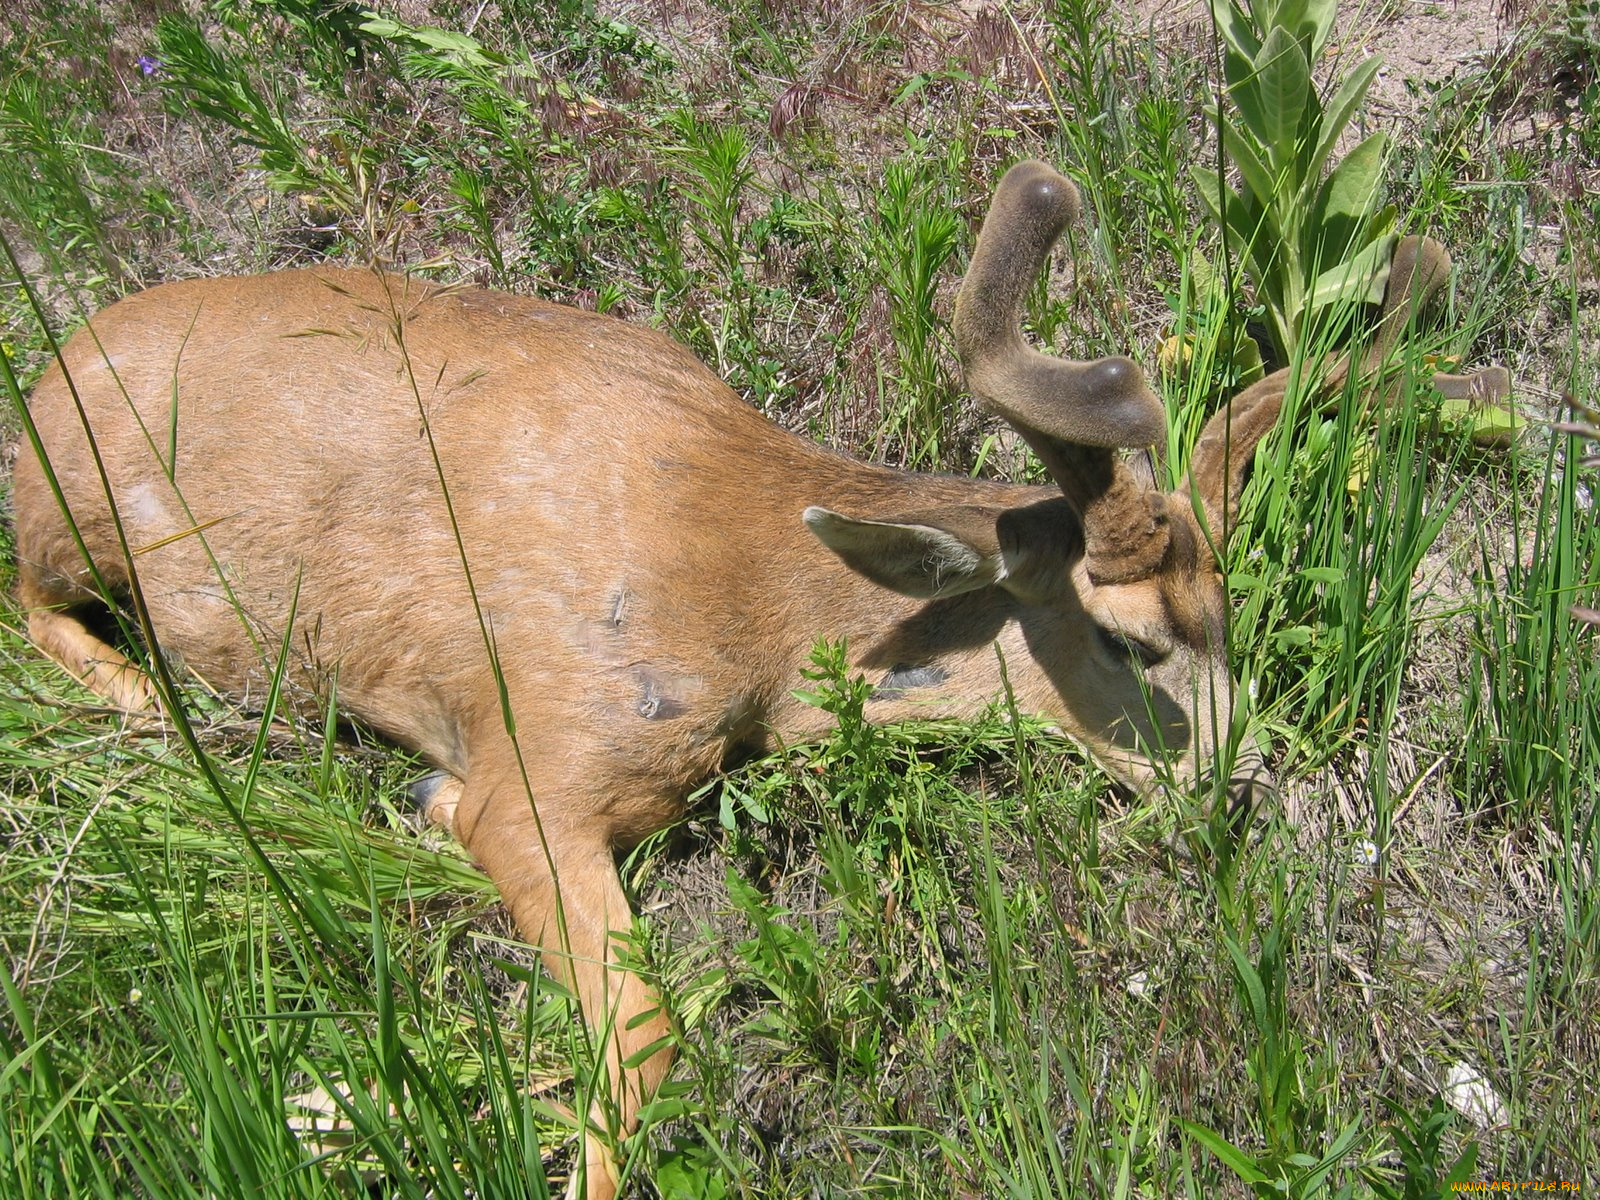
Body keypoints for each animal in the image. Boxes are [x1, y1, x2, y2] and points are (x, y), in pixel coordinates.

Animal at [9, 162, 1497, 1200]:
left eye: (1233, 618)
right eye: (1133, 642)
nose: (1233, 789)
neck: (754, 597)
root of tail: (50, 363)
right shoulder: (535, 766)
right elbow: (652, 1038)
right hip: (68, 508)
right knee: (28, 599)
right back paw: (154, 713)